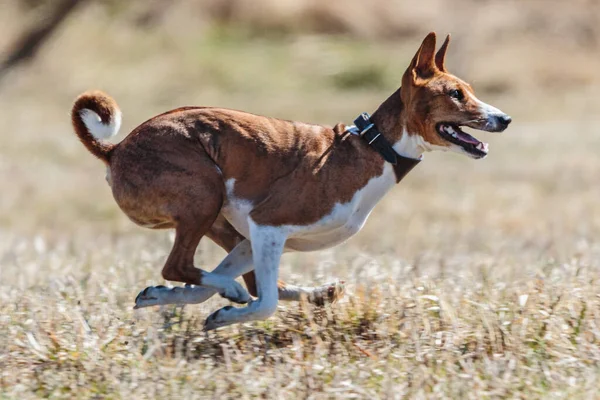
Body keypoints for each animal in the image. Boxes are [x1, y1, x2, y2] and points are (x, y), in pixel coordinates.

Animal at [70, 32, 510, 330]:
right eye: (455, 94)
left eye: (469, 91)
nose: (504, 118)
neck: (372, 147)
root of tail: (116, 147)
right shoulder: (268, 226)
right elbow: (264, 303)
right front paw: (228, 310)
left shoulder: (252, 238)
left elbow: (257, 290)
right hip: (204, 196)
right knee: (182, 266)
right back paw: (227, 294)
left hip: (219, 222)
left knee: (209, 276)